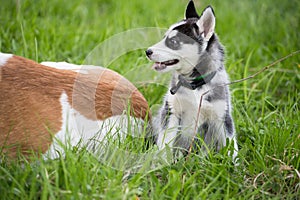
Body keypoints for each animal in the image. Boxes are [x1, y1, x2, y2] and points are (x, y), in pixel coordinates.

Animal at [146, 0, 238, 159]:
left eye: (173, 41)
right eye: (164, 38)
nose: (147, 51)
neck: (195, 85)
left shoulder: (222, 117)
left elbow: (232, 147)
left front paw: (236, 164)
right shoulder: (171, 112)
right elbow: (165, 143)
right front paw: (161, 162)